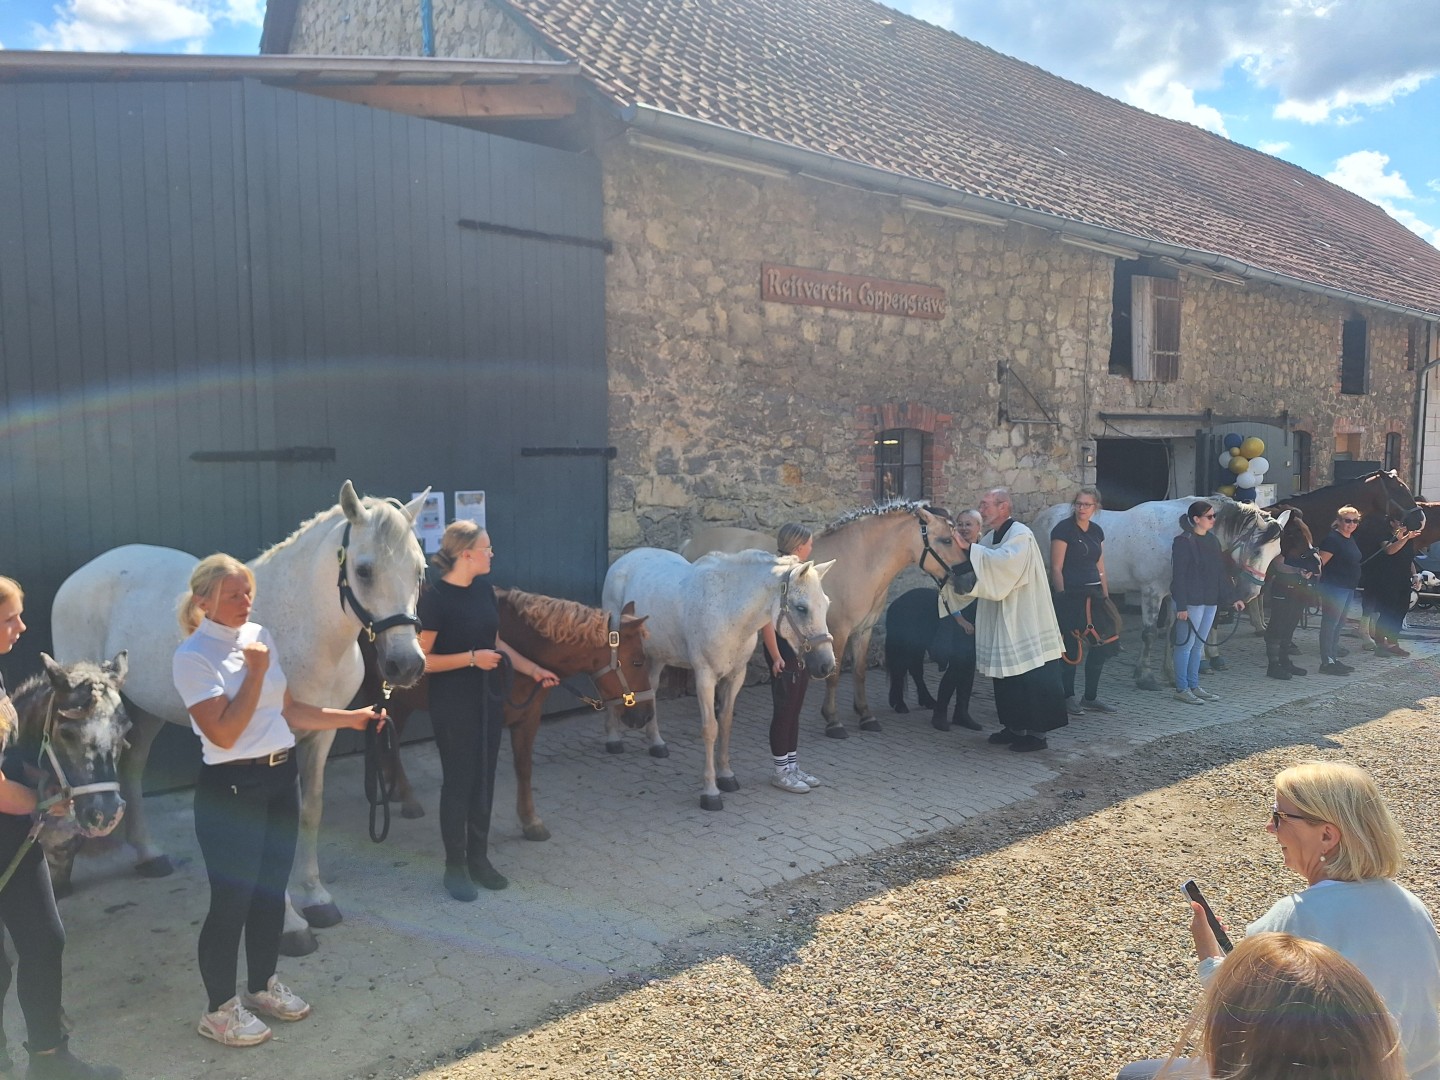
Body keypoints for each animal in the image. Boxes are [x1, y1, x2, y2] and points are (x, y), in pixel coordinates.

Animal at [52, 480, 432, 956]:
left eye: (419, 570)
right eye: (364, 571)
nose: (406, 665)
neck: (302, 629)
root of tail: (82, 574)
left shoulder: (321, 735)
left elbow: (310, 812)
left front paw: (316, 898)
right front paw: (290, 925)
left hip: (145, 708)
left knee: (133, 767)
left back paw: (148, 855)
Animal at [357, 587, 656, 840]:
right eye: (637, 661)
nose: (645, 716)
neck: (519, 645)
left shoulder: (529, 717)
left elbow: (524, 767)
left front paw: (530, 821)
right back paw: (407, 797)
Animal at [601, 550, 840, 812]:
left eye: (826, 604)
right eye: (801, 608)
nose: (826, 665)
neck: (727, 610)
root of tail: (625, 559)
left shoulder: (736, 676)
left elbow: (725, 724)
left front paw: (726, 776)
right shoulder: (705, 677)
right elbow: (710, 729)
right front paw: (710, 792)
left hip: (657, 655)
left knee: (651, 689)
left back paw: (656, 743)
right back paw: (613, 740)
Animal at [682, 501, 956, 743]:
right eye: (947, 539)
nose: (963, 575)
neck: (860, 560)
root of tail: (690, 545)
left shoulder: (863, 631)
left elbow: (859, 673)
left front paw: (866, 715)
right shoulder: (839, 632)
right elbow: (833, 675)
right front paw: (833, 721)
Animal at [1036, 501, 1296, 694]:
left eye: (1277, 552)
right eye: (1257, 550)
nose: (1251, 594)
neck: (1175, 535)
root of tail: (1042, 517)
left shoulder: (1174, 596)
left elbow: (1173, 633)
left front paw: (1170, 675)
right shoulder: (1151, 592)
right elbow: (1150, 634)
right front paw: (1146, 677)